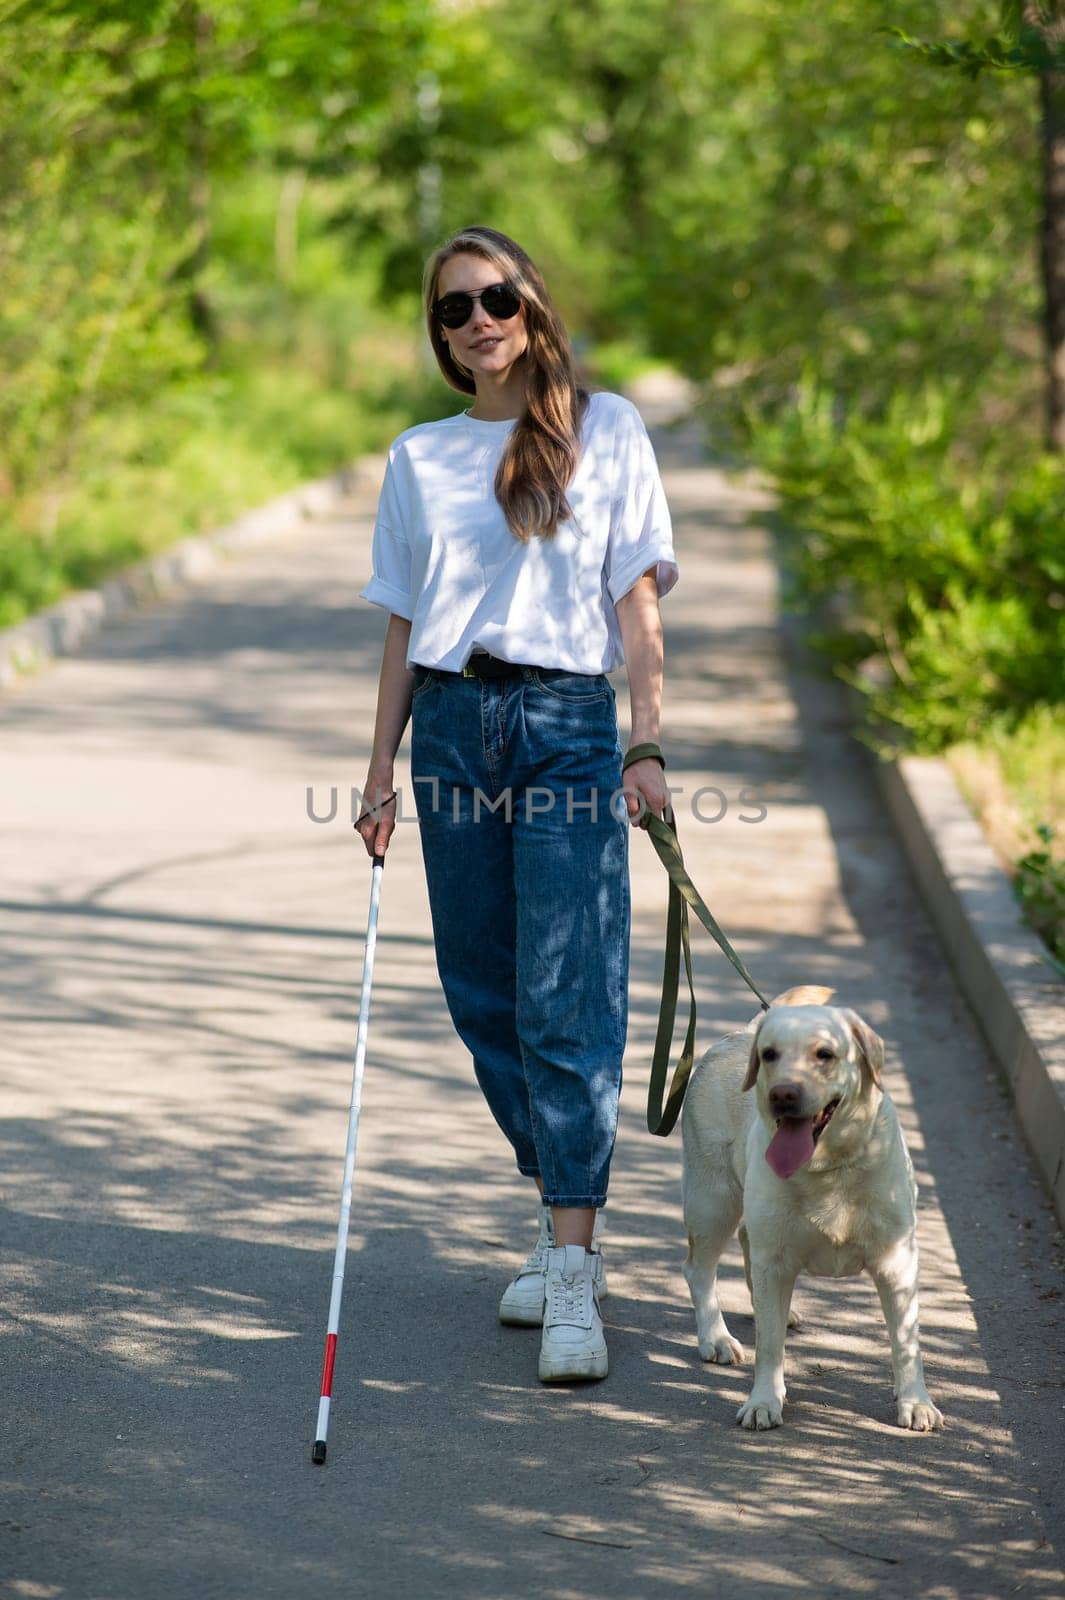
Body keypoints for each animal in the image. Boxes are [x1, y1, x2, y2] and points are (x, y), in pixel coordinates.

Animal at [681, 979, 940, 1433]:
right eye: (770, 1055)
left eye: (825, 1054)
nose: (782, 1093)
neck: (828, 1168)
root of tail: (740, 1034)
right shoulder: (773, 1258)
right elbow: (769, 1347)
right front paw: (764, 1401)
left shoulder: (898, 1263)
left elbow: (907, 1343)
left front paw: (915, 1402)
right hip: (712, 1202)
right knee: (700, 1269)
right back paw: (716, 1337)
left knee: (748, 1243)